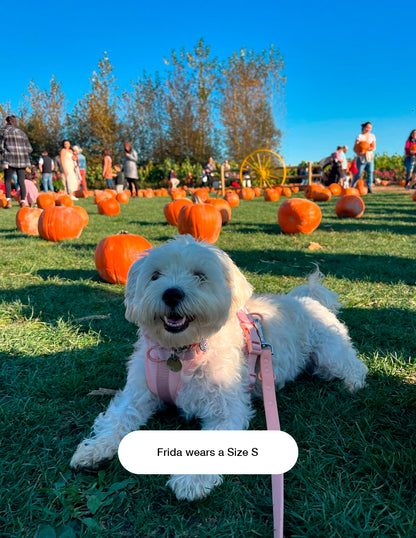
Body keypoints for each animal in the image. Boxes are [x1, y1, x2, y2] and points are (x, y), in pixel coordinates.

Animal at [71, 234, 368, 498]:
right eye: (155, 275)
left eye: (200, 275)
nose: (172, 293)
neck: (181, 352)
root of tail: (308, 298)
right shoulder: (137, 393)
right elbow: (116, 418)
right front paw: (93, 449)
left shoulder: (227, 408)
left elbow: (210, 443)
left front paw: (191, 480)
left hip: (329, 351)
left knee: (354, 365)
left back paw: (352, 383)